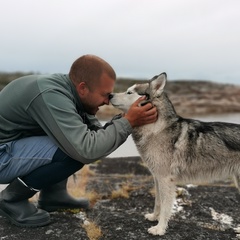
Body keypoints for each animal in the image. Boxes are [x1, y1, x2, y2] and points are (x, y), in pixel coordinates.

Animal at [110, 72, 240, 236]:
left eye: (129, 92)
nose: (109, 95)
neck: (156, 128)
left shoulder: (166, 180)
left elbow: (166, 207)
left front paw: (159, 228)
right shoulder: (157, 178)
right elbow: (158, 202)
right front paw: (154, 217)